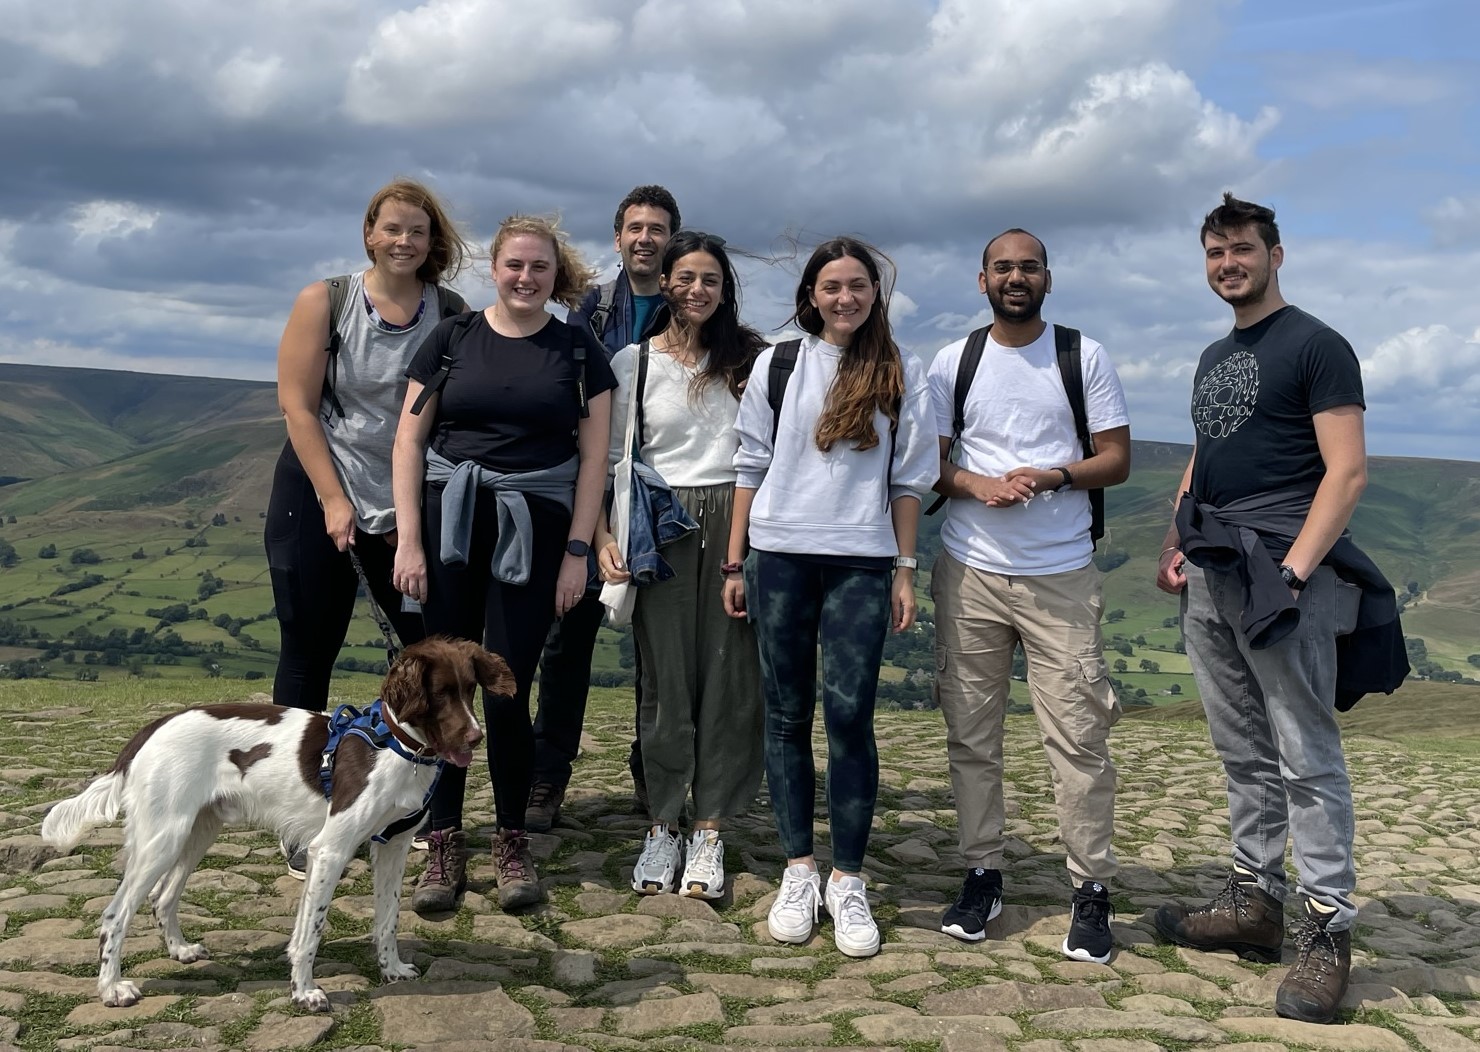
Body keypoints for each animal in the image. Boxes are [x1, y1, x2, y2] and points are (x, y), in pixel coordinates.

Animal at [39, 633, 509, 1012]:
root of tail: (154, 727)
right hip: (163, 838)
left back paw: (180, 951)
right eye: (440, 693)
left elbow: (389, 918)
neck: (397, 746)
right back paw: (112, 989)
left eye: (470, 689)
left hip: (196, 832)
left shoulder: (392, 847)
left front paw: (391, 969)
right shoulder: (330, 849)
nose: (476, 737)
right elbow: (311, 931)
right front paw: (305, 993)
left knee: (162, 897)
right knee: (115, 915)